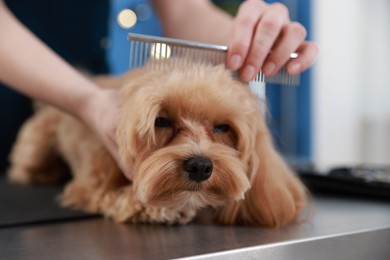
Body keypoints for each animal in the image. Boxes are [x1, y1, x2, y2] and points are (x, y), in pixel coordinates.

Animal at [6, 62, 308, 226]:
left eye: (222, 127)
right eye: (161, 121)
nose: (200, 166)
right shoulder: (92, 189)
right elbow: (124, 199)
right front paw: (166, 209)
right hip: (36, 146)